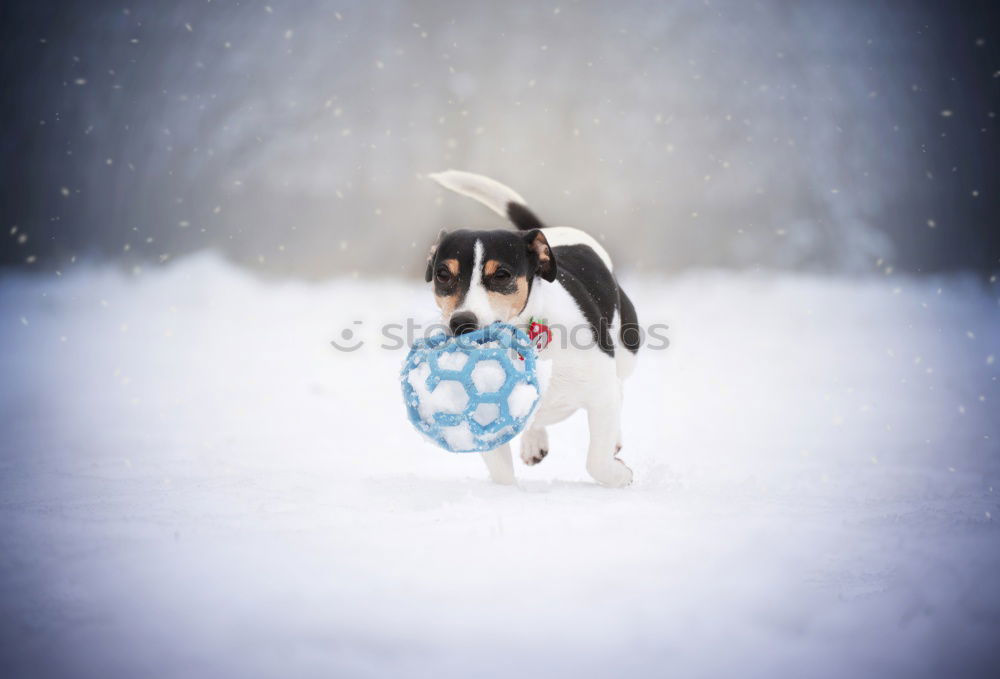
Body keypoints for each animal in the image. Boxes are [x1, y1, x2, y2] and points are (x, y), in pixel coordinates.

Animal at [424, 173, 640, 486]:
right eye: (442, 274)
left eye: (501, 275)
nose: (461, 322)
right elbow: (501, 471)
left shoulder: (601, 393)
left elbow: (596, 460)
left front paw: (618, 475)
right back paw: (533, 441)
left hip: (626, 351)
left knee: (620, 386)